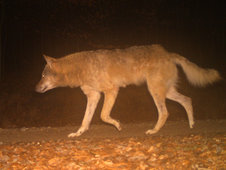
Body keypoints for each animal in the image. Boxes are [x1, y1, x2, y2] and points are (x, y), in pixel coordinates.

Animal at [35, 44, 221, 137]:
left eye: (43, 75)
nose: (35, 88)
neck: (80, 69)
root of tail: (168, 53)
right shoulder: (93, 96)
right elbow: (85, 120)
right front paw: (78, 133)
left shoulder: (111, 90)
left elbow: (103, 116)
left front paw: (118, 125)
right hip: (165, 91)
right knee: (187, 100)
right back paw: (191, 124)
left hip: (155, 91)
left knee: (165, 112)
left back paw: (154, 131)